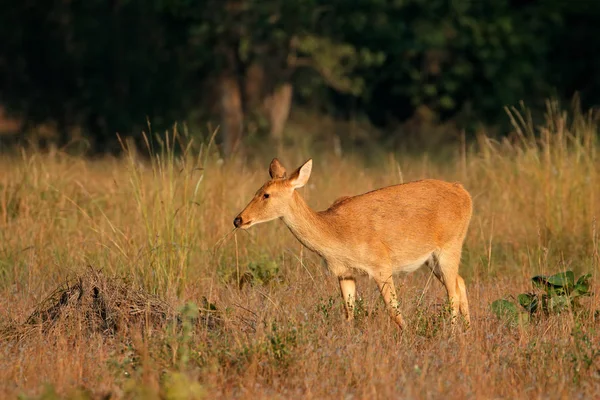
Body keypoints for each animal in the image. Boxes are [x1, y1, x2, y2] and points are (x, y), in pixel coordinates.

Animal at [234, 158, 474, 330]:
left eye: (266, 195)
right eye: (256, 191)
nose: (238, 219)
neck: (335, 236)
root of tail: (464, 192)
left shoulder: (381, 265)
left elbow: (394, 311)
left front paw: (408, 336)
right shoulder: (345, 273)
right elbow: (349, 314)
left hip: (451, 245)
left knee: (452, 293)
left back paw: (451, 333)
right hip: (432, 259)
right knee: (460, 282)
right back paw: (467, 330)